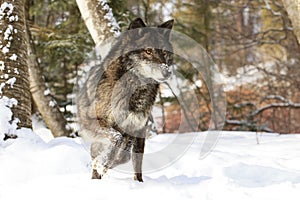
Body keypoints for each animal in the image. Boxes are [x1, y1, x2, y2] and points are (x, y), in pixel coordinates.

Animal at [78, 18, 173, 182]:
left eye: (164, 52)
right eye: (148, 51)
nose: (167, 72)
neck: (135, 91)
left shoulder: (137, 129)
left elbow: (129, 158)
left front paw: (138, 182)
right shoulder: (91, 120)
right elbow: (117, 138)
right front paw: (103, 163)